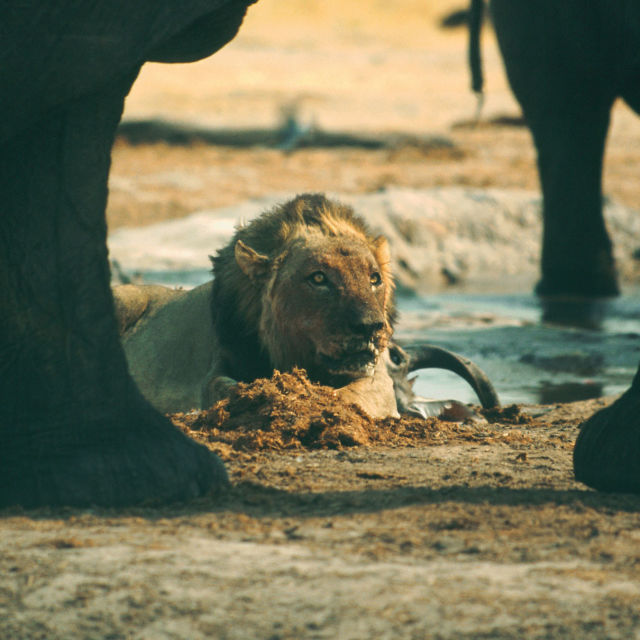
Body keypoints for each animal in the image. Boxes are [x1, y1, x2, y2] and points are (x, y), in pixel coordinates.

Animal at [115, 194, 499, 418]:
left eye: (374, 278)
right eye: (318, 279)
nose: (371, 327)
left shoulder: (376, 379)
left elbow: (355, 395)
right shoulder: (214, 370)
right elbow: (227, 387)